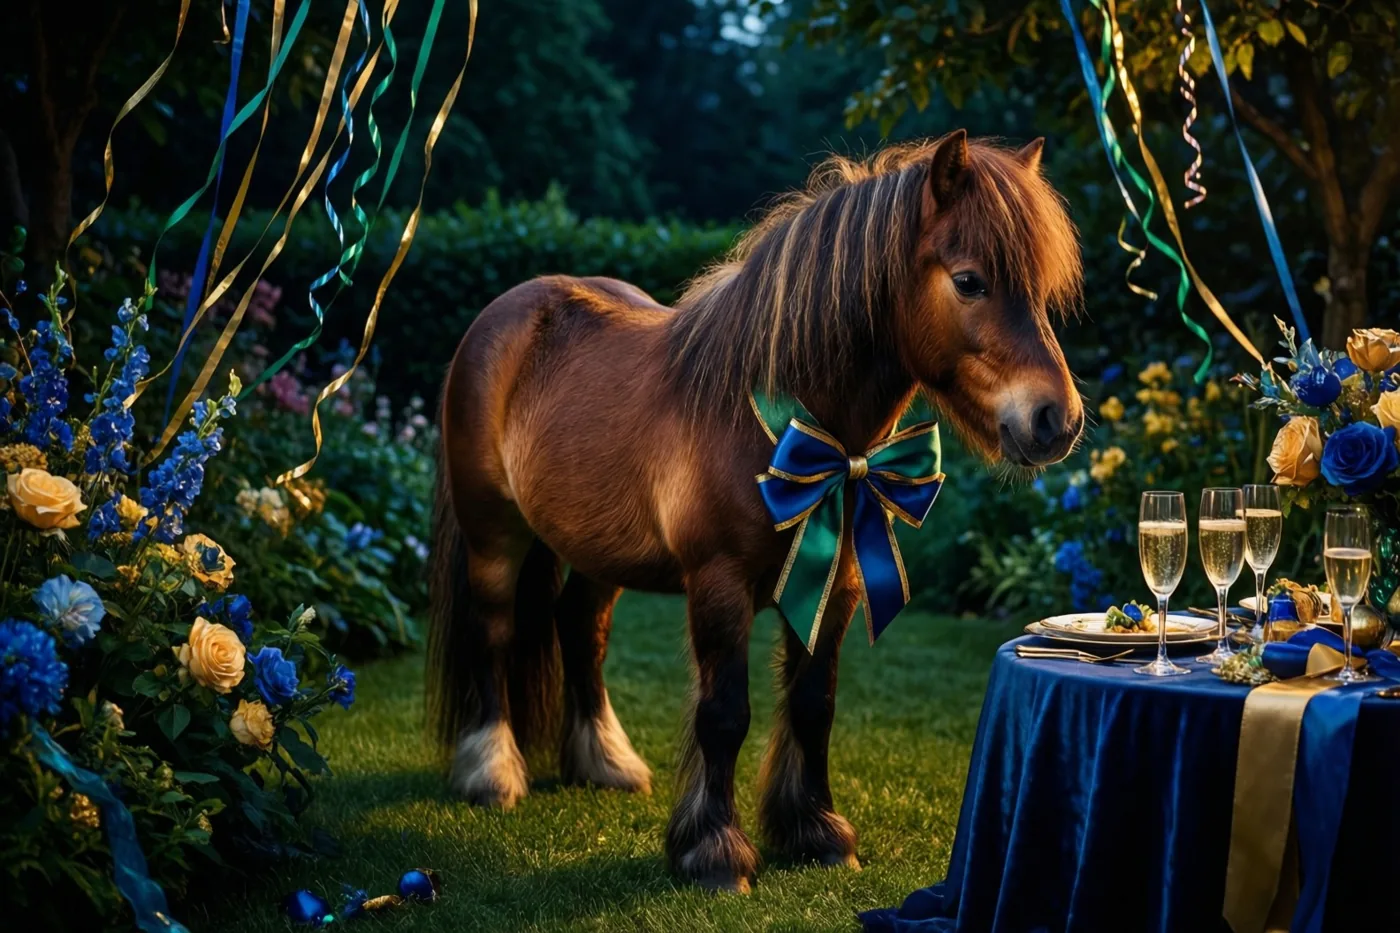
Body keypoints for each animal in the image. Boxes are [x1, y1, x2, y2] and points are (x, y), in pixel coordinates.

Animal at [426, 130, 1084, 893]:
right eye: (971, 280)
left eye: (1039, 290)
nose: (1056, 420)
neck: (775, 425)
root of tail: (508, 312)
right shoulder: (719, 587)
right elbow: (723, 714)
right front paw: (714, 851)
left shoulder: (836, 587)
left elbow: (813, 704)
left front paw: (816, 832)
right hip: (493, 535)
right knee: (494, 632)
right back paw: (491, 772)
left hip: (597, 552)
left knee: (580, 629)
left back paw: (604, 763)